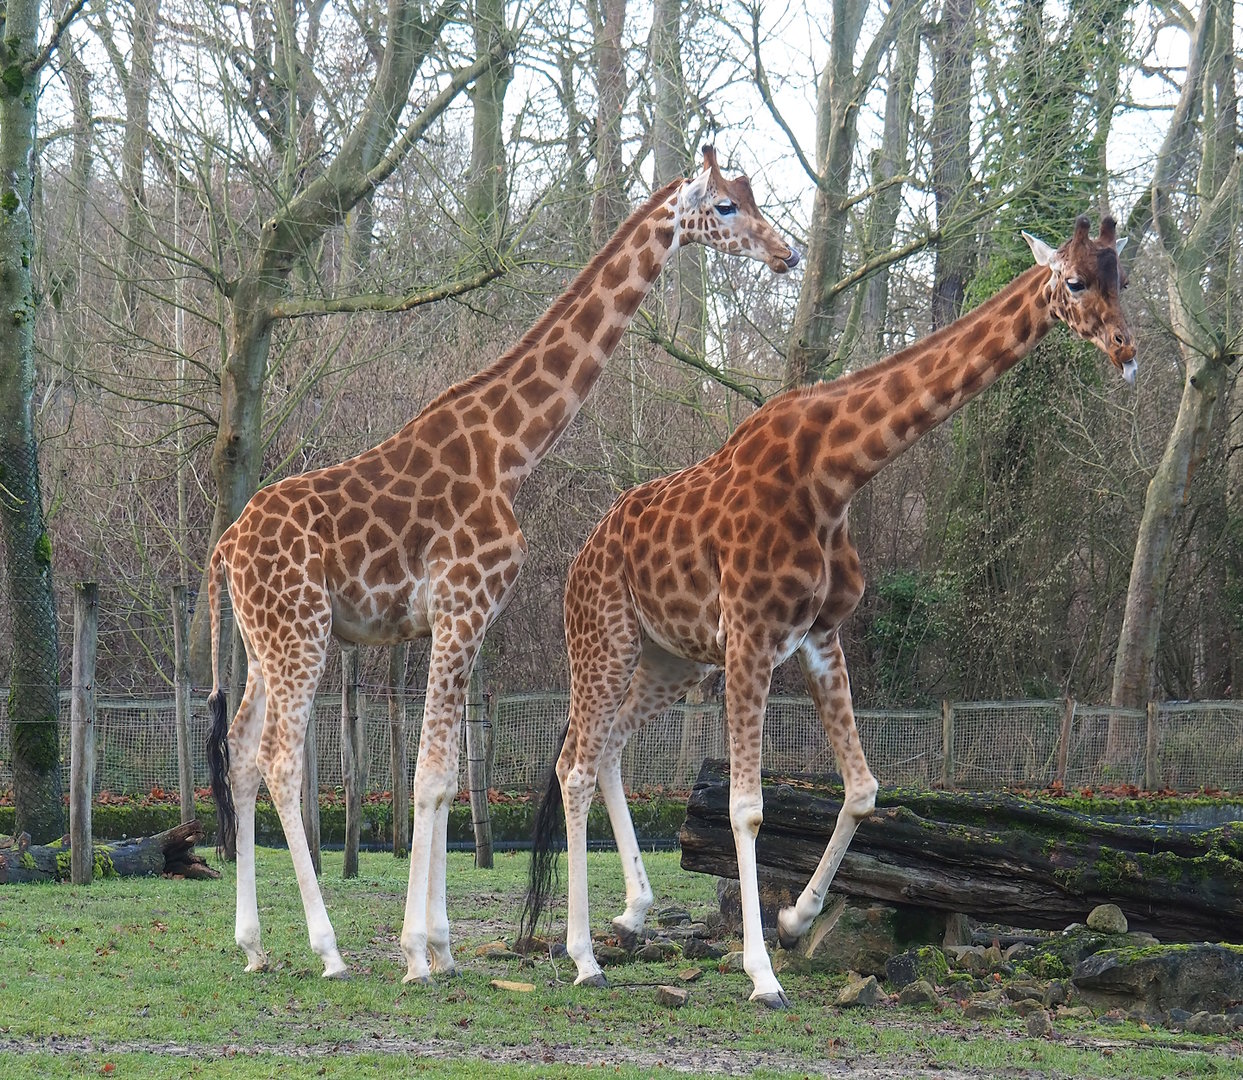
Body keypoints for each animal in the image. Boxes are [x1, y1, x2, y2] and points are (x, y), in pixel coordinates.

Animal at [203, 146, 799, 983]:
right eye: (723, 207)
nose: (787, 253)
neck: (510, 451)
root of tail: (225, 547)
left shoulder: (466, 620)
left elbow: (448, 777)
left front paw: (441, 947)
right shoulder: (462, 605)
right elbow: (429, 775)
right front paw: (417, 955)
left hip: (265, 641)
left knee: (243, 757)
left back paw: (254, 945)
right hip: (302, 634)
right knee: (284, 762)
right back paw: (328, 950)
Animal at [522, 215, 1135, 1007]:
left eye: (1124, 275)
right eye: (1075, 281)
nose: (1125, 350)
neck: (835, 473)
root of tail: (580, 558)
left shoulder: (818, 635)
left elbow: (865, 789)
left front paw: (794, 919)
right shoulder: (751, 637)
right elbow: (746, 807)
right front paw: (762, 974)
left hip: (670, 659)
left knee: (607, 750)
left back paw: (632, 913)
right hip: (604, 639)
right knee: (573, 765)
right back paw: (583, 956)